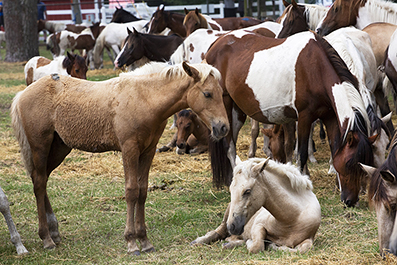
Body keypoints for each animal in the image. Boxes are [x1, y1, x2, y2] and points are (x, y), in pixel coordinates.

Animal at [10, 60, 229, 255]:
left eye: (221, 94)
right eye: (207, 94)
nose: (223, 127)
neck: (144, 98)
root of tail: (23, 93)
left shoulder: (148, 151)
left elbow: (142, 191)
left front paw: (145, 241)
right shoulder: (129, 149)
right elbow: (131, 191)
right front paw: (131, 242)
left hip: (59, 148)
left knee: (42, 180)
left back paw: (54, 232)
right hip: (40, 147)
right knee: (39, 183)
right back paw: (46, 238)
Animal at [190, 156, 320, 253]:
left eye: (247, 191)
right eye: (231, 189)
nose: (232, 226)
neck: (291, 219)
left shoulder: (309, 238)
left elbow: (303, 249)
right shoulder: (258, 225)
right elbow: (256, 246)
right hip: (227, 215)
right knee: (218, 232)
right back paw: (199, 241)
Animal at [207, 29, 374, 206]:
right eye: (349, 163)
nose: (351, 201)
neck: (315, 68)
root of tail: (217, 43)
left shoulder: (329, 117)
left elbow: (334, 147)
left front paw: (337, 185)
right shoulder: (304, 117)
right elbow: (301, 154)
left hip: (237, 112)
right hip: (225, 104)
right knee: (229, 146)